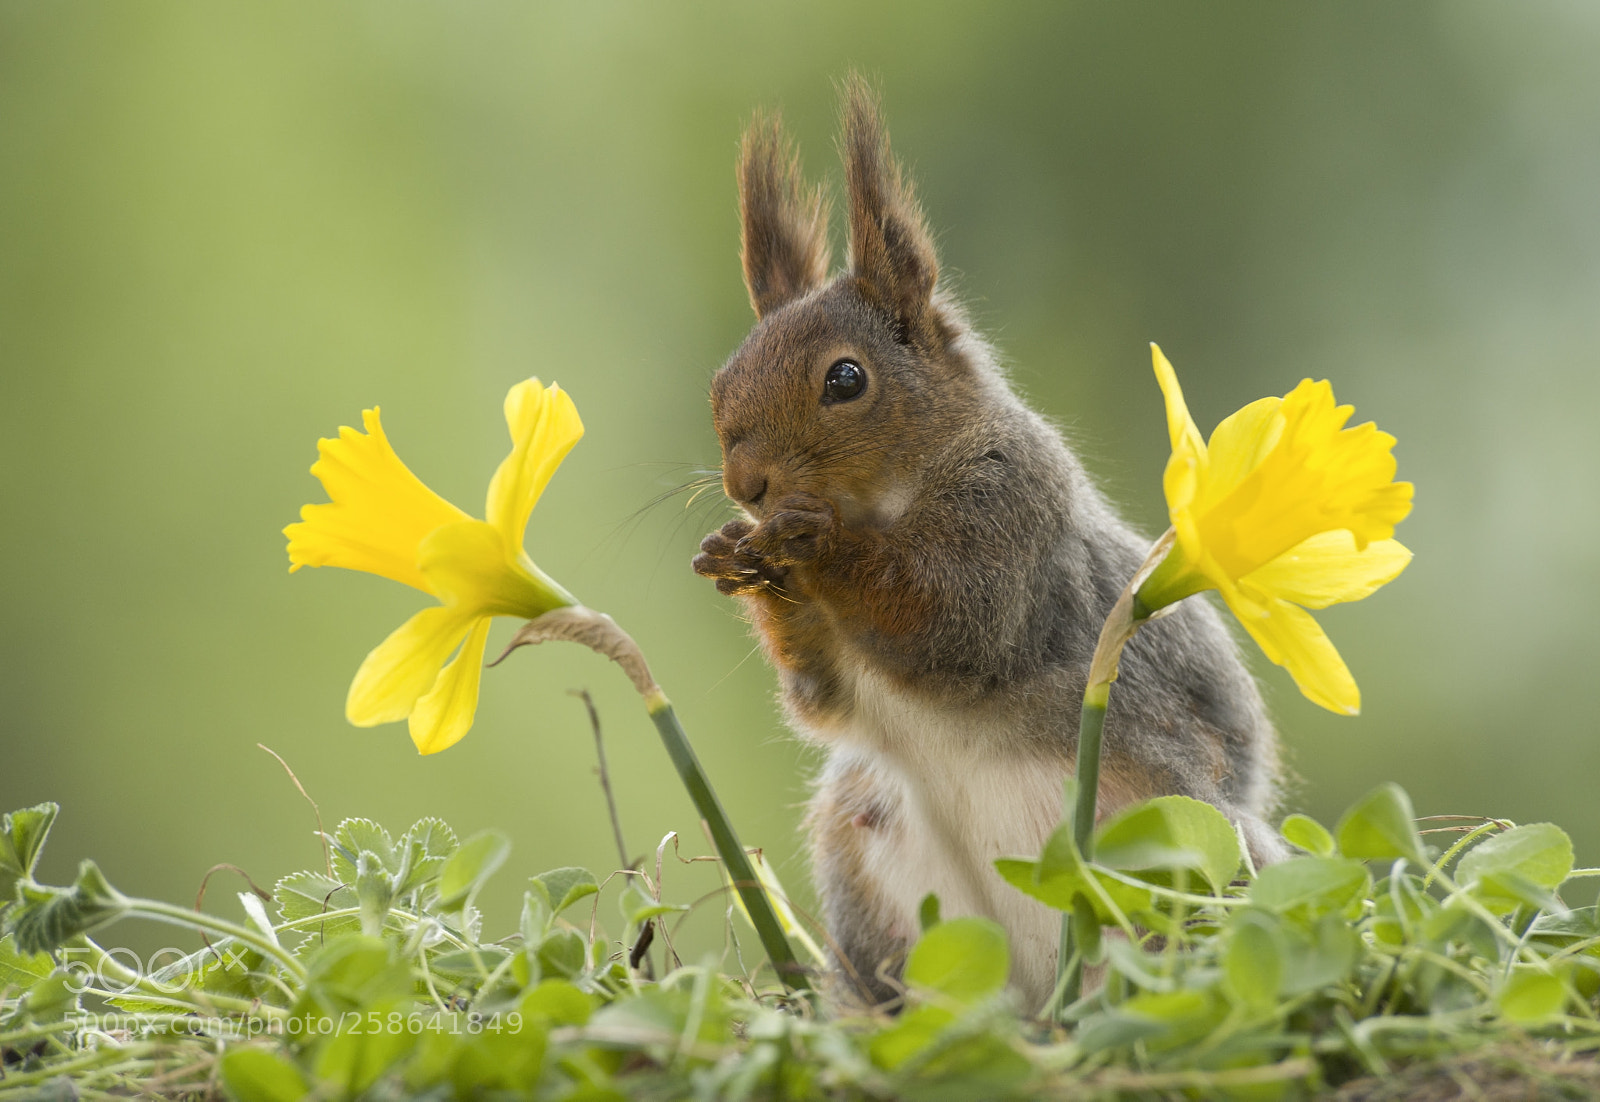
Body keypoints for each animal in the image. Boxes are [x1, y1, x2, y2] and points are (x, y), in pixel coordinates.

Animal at [692, 78, 1285, 1008]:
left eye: (846, 379)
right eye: (721, 382)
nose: (746, 484)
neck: (889, 498)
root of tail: (1048, 994)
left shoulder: (1011, 521)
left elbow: (943, 621)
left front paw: (814, 548)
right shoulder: (838, 685)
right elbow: (818, 698)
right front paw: (744, 560)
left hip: (1188, 852)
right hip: (872, 859)